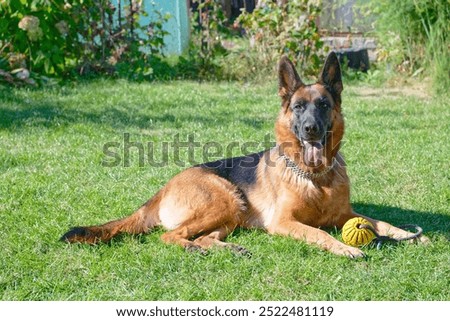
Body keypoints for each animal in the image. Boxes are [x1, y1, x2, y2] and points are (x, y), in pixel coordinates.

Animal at [60, 52, 428, 258]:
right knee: (170, 236)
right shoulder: (285, 222)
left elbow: (382, 223)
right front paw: (346, 248)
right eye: (298, 107)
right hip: (225, 199)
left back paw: (225, 249)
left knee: (204, 236)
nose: (310, 129)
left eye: (323, 105)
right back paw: (193, 248)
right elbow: (320, 233)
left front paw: (411, 236)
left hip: (231, 213)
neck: (316, 178)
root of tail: (163, 189)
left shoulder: (346, 214)